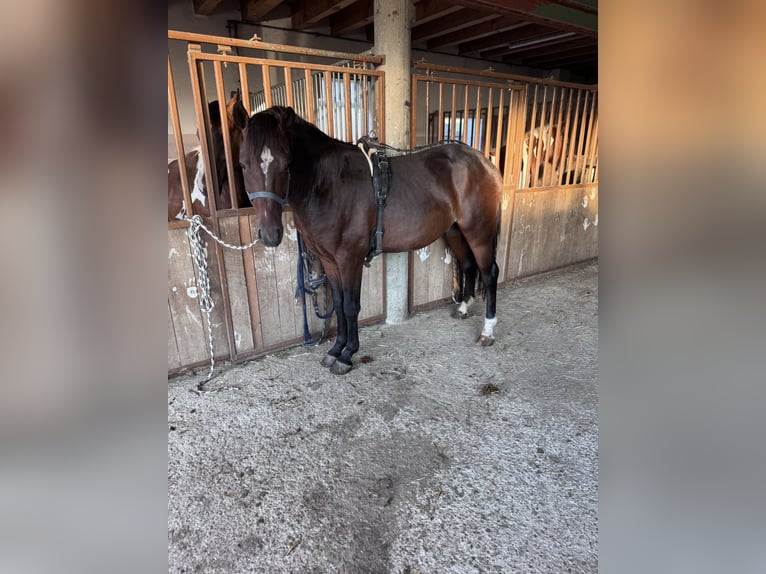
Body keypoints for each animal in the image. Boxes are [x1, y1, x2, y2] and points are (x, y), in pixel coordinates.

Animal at [233, 105, 503, 375]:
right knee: (468, 265)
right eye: (243, 165)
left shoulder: (350, 258)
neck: (328, 184)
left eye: (286, 164)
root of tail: (484, 162)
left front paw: (347, 355)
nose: (270, 234)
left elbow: (351, 307)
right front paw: (335, 350)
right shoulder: (329, 261)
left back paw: (488, 331)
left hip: (478, 231)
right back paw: (463, 309)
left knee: (489, 273)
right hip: (455, 231)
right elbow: (338, 304)